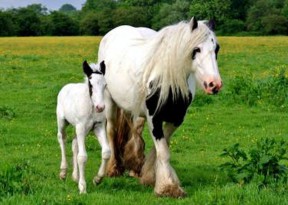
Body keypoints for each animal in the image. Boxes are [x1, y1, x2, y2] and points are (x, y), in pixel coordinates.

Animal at [56, 60, 110, 194]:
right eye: (91, 84)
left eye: (105, 85)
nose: (100, 107)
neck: (91, 107)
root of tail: (66, 87)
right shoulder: (80, 127)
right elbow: (82, 157)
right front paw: (82, 187)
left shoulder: (99, 126)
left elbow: (106, 152)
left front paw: (97, 179)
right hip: (62, 121)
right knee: (62, 138)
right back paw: (63, 172)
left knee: (74, 143)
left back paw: (75, 176)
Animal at [99, 17, 223, 197]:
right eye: (196, 49)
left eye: (216, 49)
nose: (214, 84)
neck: (169, 79)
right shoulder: (154, 118)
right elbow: (163, 151)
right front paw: (168, 187)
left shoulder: (176, 119)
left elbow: (161, 148)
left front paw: (150, 175)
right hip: (110, 103)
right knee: (111, 131)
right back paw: (114, 168)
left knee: (135, 130)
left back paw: (134, 166)